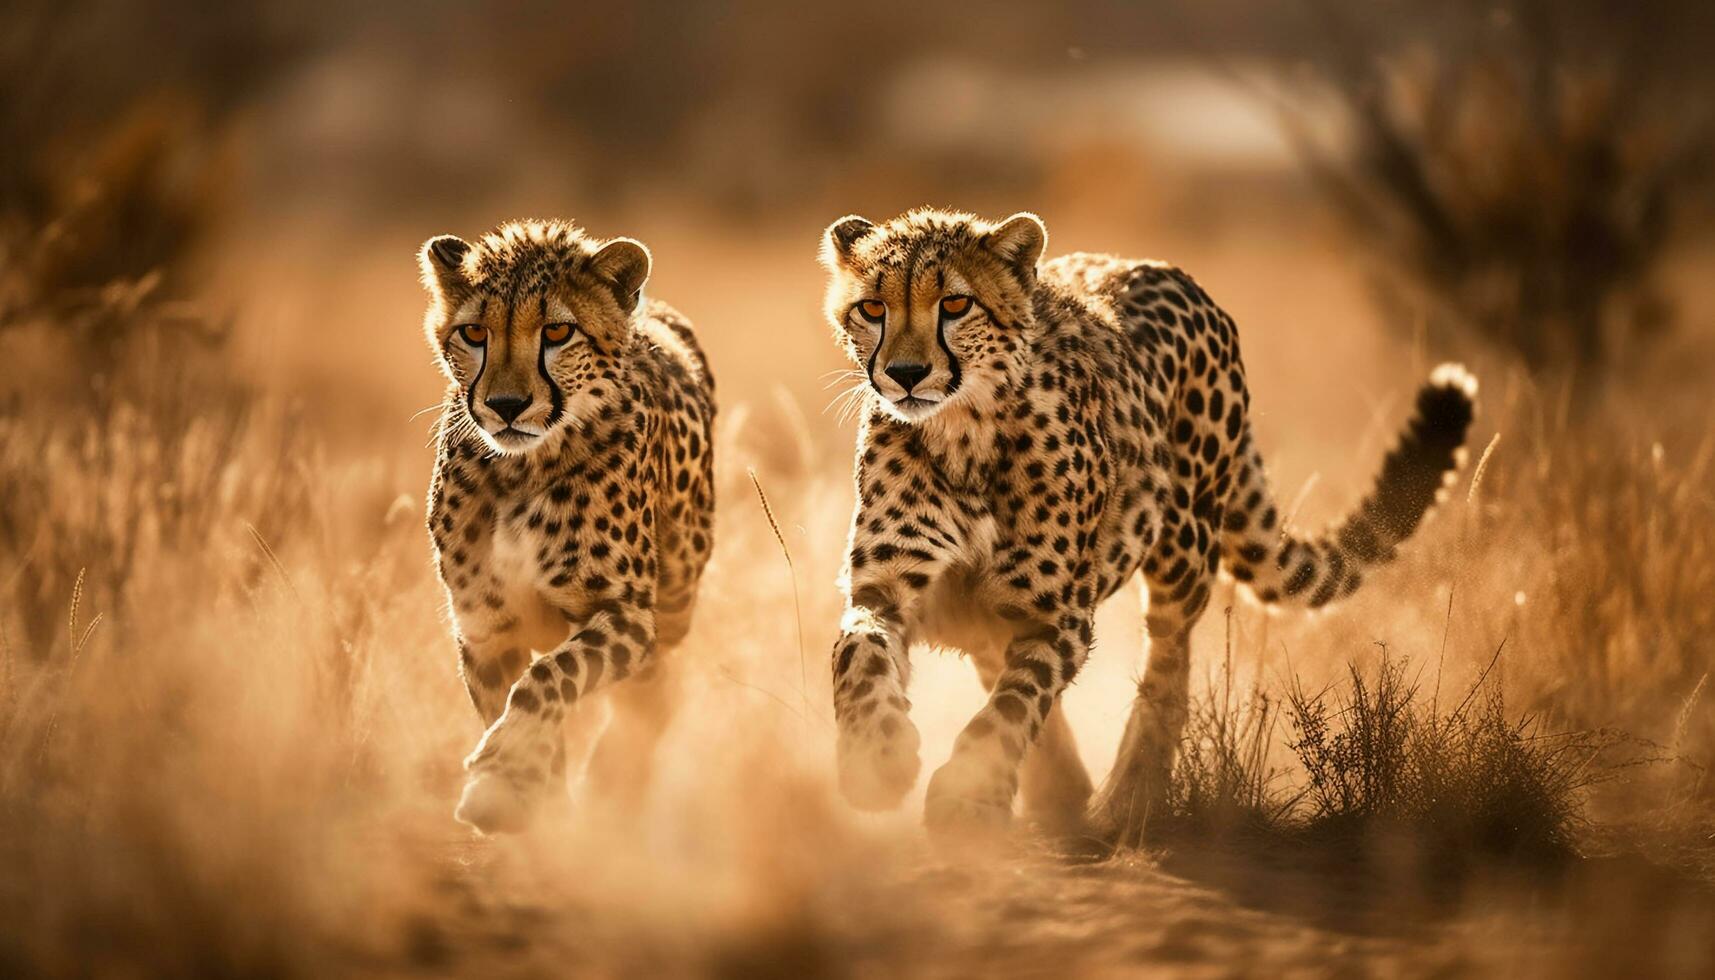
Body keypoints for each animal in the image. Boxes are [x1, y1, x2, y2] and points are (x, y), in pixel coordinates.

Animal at [418, 219, 713, 837]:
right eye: (474, 332)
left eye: (557, 330)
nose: (507, 404)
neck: (522, 468)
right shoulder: (485, 627)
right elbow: (519, 703)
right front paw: (521, 791)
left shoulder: (628, 614)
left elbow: (547, 680)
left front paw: (506, 779)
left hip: (674, 601)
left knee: (656, 690)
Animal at [816, 209, 1474, 851]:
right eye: (871, 309)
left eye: (955, 304)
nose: (904, 373)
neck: (964, 431)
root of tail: (1161, 268)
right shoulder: (888, 590)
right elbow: (858, 653)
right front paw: (877, 758)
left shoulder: (1055, 615)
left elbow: (1013, 705)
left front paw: (968, 793)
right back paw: (1061, 792)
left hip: (1183, 550)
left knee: (1168, 671)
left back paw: (1126, 798)